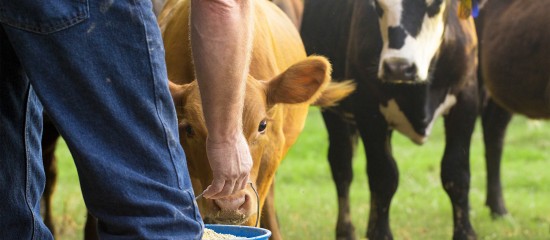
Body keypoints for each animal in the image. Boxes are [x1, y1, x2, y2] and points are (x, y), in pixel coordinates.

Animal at [304, 0, 480, 238]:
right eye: (377, 5)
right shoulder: (368, 110)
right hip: (333, 110)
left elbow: (456, 172)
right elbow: (384, 176)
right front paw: (380, 233)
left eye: (434, 5)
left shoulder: (466, 101)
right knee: (342, 166)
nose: (398, 67)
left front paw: (465, 233)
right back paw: (346, 230)